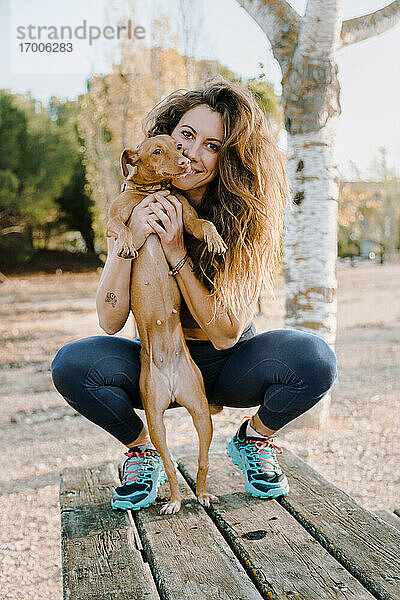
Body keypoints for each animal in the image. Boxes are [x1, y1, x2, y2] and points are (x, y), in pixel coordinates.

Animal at [104, 136, 227, 516]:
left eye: (178, 145)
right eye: (157, 151)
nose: (185, 163)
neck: (153, 192)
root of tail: (173, 385)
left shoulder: (185, 218)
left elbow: (203, 224)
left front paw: (215, 238)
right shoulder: (112, 218)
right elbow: (122, 226)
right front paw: (129, 242)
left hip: (201, 414)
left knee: (201, 462)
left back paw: (201, 494)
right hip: (156, 420)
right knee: (170, 465)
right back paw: (172, 499)